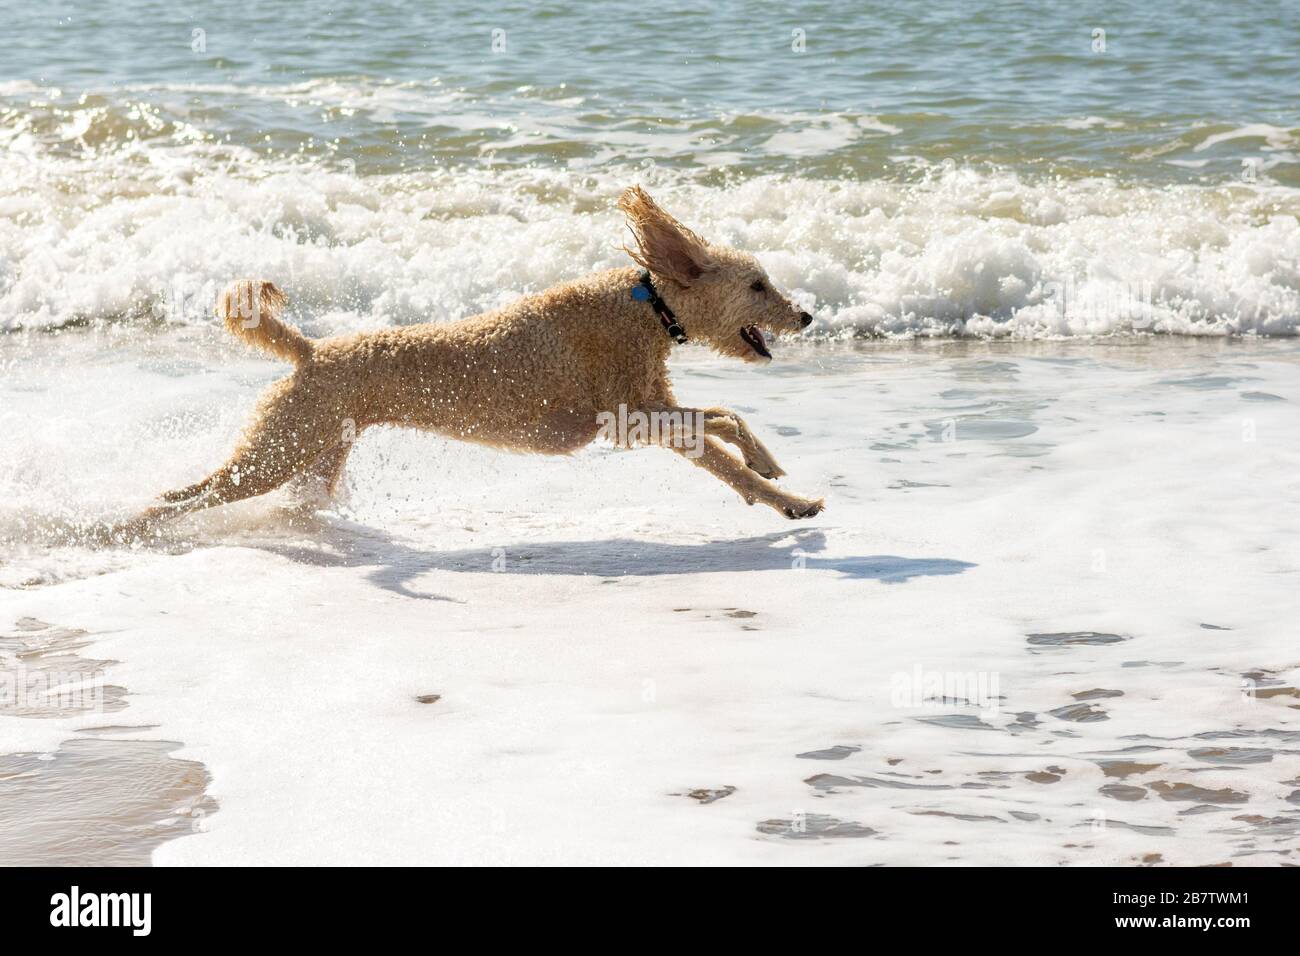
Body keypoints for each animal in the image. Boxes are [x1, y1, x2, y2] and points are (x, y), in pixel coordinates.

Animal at [137, 187, 826, 530]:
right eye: (758, 284)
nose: (806, 316)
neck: (644, 307)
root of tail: (311, 352)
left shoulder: (653, 410)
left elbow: (724, 418)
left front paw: (768, 466)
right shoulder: (635, 420)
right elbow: (720, 447)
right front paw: (784, 497)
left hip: (311, 454)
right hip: (276, 452)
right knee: (191, 494)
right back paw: (127, 528)